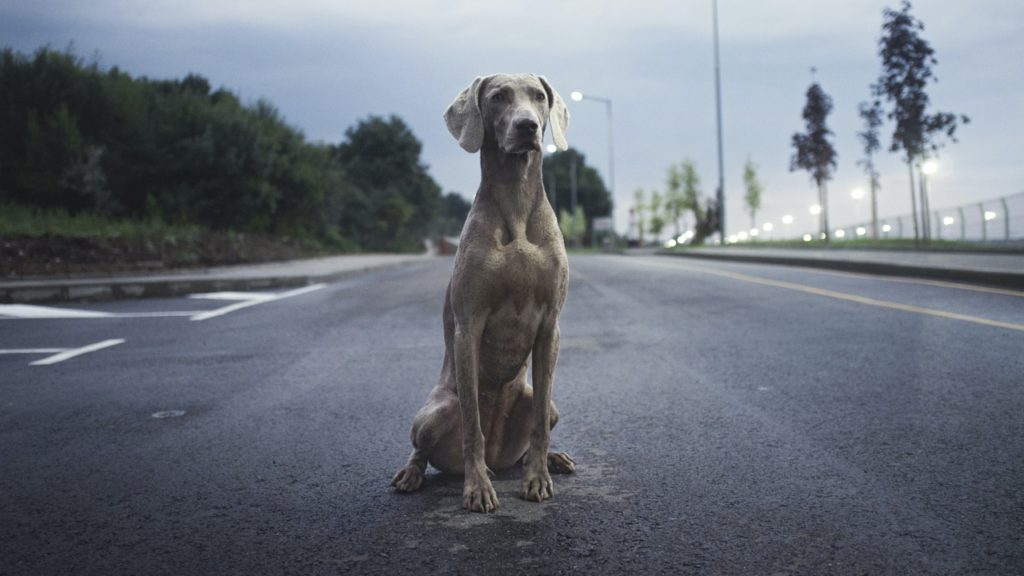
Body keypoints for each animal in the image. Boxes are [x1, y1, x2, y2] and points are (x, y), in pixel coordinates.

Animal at [391, 72, 577, 510]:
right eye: (498, 97)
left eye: (539, 97)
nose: (527, 127)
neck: (516, 202)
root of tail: (498, 457)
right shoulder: (468, 325)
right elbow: (472, 424)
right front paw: (476, 488)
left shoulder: (550, 326)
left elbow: (540, 424)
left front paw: (537, 479)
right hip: (435, 411)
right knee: (423, 447)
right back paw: (414, 474)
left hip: (541, 402)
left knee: (540, 419)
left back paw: (552, 459)